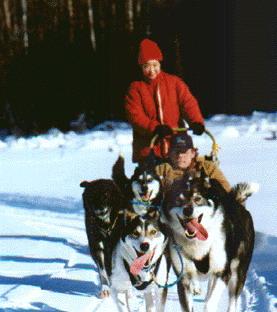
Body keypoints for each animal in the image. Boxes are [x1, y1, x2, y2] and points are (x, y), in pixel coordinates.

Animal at [162, 171, 256, 312]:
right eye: (179, 199)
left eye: (197, 198)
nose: (187, 210)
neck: (196, 243)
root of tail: (238, 203)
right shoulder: (184, 278)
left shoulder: (222, 273)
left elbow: (210, 303)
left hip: (237, 273)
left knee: (232, 301)